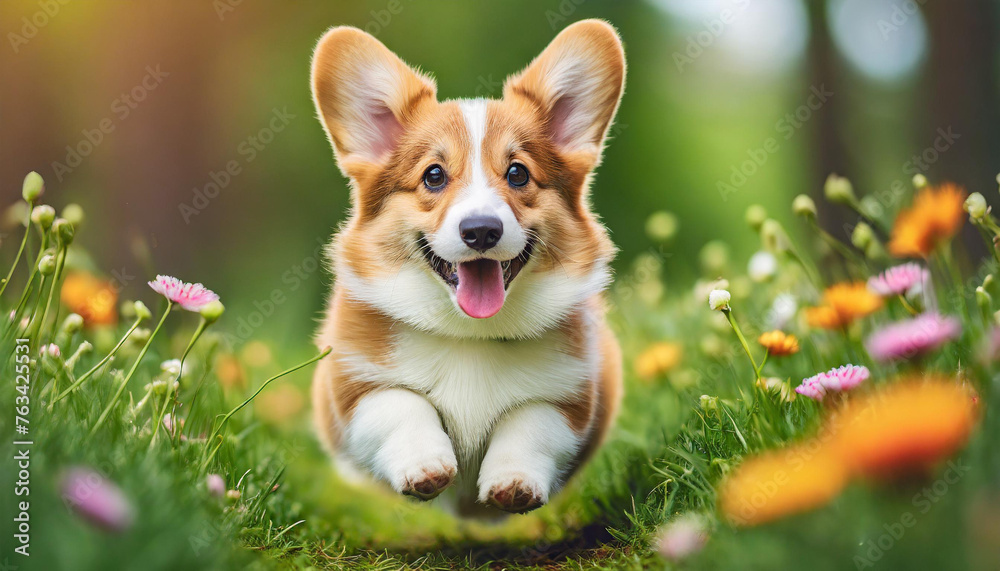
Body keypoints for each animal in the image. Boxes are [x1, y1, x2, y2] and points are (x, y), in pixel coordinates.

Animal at [310, 20, 624, 516]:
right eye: (434, 176)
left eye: (517, 173)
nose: (480, 231)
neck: (470, 335)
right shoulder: (352, 388)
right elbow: (399, 405)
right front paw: (425, 466)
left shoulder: (573, 395)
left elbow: (531, 421)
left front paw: (513, 483)